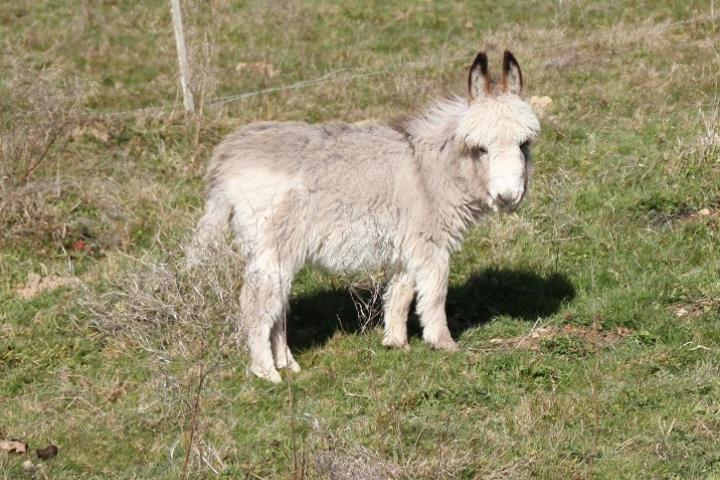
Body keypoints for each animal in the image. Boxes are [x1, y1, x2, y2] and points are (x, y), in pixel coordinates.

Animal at [190, 51, 540, 382]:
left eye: (524, 144)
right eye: (480, 148)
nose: (508, 197)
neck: (432, 168)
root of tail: (225, 159)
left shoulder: (407, 245)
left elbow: (400, 292)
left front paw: (395, 342)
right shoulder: (430, 244)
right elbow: (434, 294)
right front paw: (444, 343)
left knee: (276, 306)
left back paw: (286, 364)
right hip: (273, 246)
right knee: (256, 304)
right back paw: (267, 372)